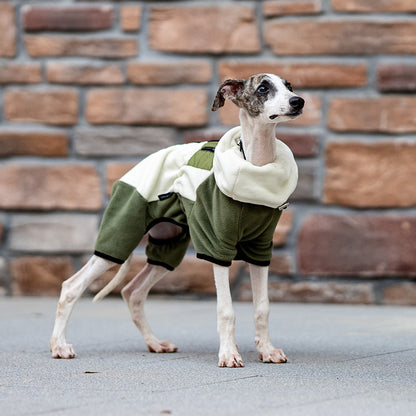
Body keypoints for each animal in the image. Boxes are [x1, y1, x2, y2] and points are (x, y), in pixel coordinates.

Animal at [50, 74, 304, 368]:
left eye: (289, 86)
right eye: (263, 88)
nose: (299, 101)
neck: (255, 164)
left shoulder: (260, 249)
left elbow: (262, 307)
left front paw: (267, 350)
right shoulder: (217, 246)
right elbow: (226, 309)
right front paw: (229, 353)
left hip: (168, 246)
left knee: (133, 292)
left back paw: (154, 343)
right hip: (120, 234)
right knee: (72, 286)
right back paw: (59, 346)